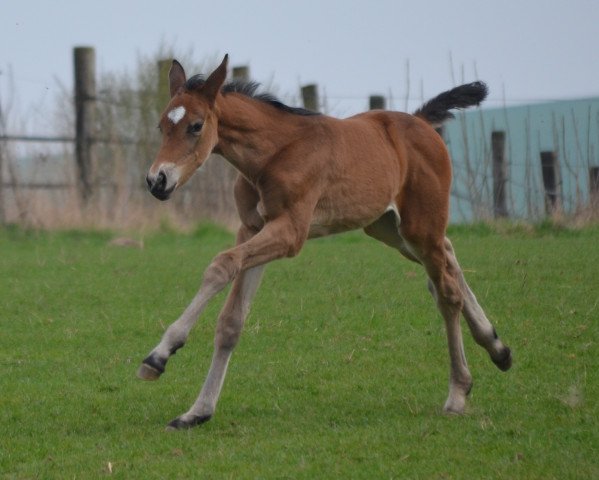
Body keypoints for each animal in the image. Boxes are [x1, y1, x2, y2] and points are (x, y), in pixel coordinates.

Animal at [139, 54, 510, 430]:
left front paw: (159, 355)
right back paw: (498, 348)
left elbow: (221, 264)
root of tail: (420, 122)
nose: (157, 181)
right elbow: (231, 321)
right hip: (390, 229)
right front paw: (197, 411)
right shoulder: (252, 229)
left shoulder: (290, 233)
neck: (274, 154)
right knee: (447, 260)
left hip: (421, 225)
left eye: (196, 126)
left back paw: (458, 393)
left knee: (447, 292)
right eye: (161, 126)